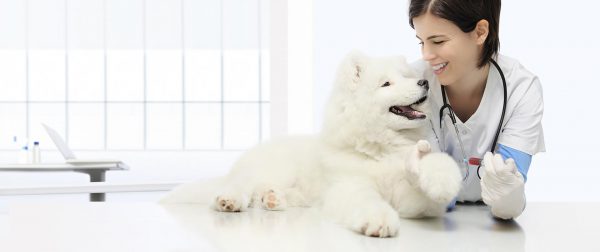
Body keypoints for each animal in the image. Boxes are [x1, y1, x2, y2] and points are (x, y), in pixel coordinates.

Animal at [161, 51, 464, 238]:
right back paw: (230, 200)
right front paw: (378, 220)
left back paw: (273, 198)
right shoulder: (349, 187)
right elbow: (366, 201)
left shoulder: (411, 200)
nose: (424, 82)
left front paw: (442, 181)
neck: (381, 149)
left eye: (407, 76)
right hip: (273, 169)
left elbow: (428, 179)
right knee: (239, 186)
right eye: (386, 84)